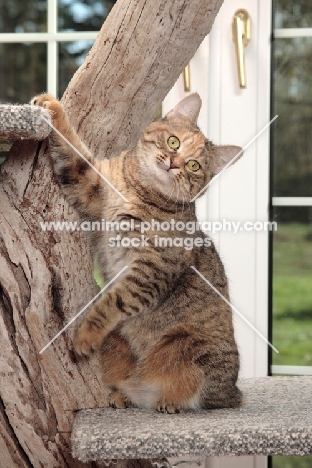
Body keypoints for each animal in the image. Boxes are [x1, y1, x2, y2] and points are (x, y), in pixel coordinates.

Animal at [31, 92, 241, 414]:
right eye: (173, 142)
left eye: (194, 166)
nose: (175, 163)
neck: (139, 191)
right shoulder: (92, 184)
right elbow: (73, 150)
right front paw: (52, 107)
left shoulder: (150, 272)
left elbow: (112, 302)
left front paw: (86, 336)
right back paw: (125, 395)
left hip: (193, 350)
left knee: (201, 395)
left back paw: (170, 401)